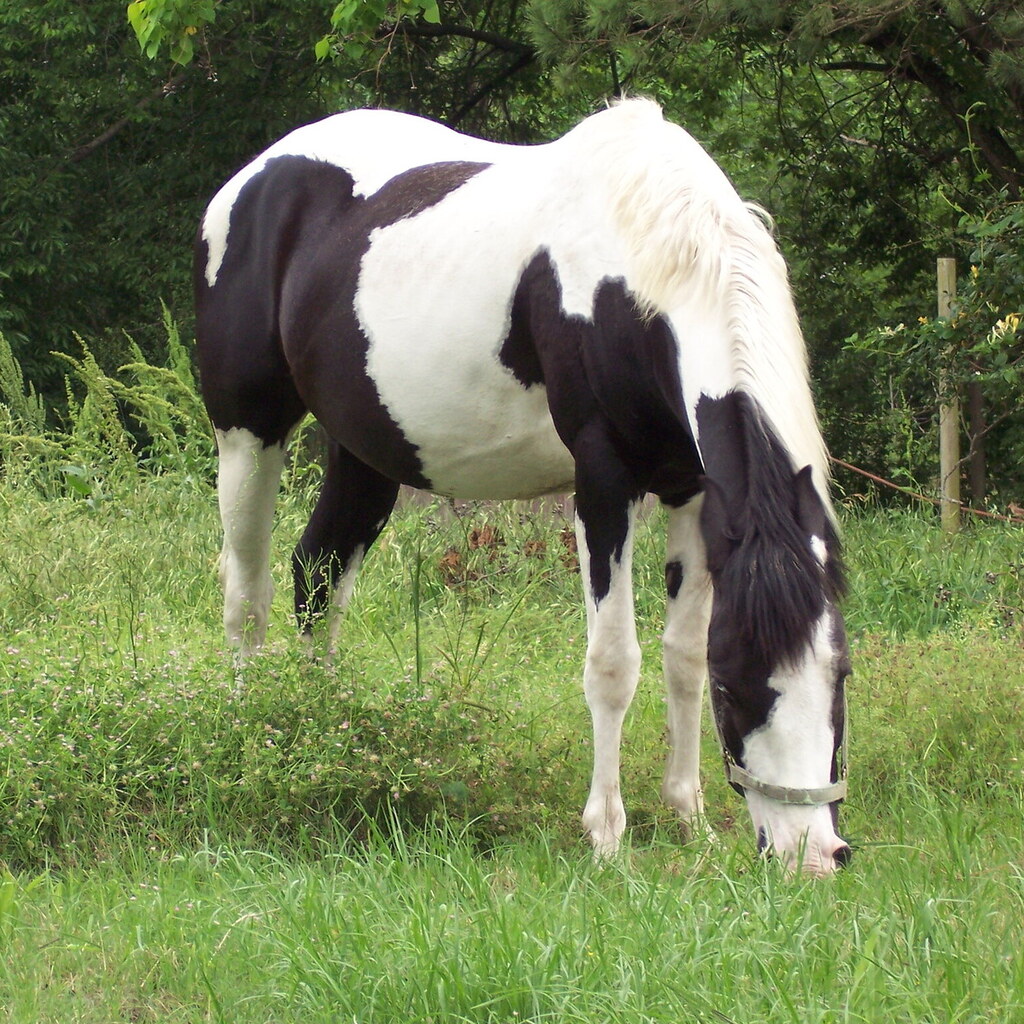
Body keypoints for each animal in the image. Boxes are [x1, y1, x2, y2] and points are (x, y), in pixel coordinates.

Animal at [194, 98, 852, 875]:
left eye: (840, 674)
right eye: (739, 684)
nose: (813, 856)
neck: (635, 273)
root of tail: (247, 180)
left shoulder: (692, 490)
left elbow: (681, 653)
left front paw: (687, 817)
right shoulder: (604, 484)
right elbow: (613, 663)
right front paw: (606, 835)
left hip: (365, 452)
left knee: (319, 575)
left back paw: (317, 734)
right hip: (248, 433)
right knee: (249, 594)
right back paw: (252, 736)